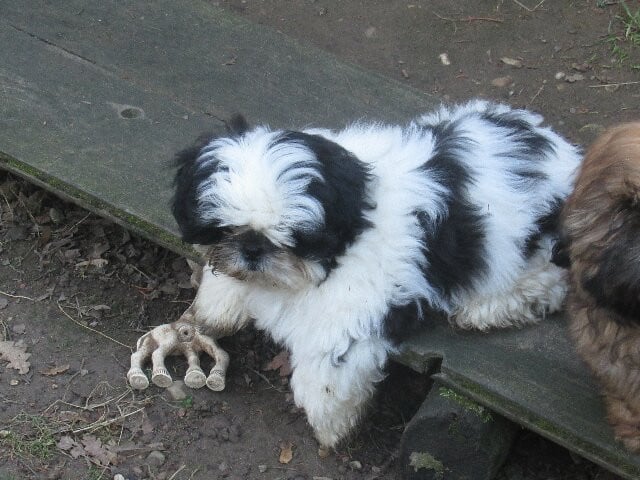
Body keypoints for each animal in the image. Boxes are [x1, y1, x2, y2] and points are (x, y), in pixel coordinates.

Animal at [169, 100, 581, 448]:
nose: (252, 249)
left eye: (296, 237)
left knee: (552, 282)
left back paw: (492, 307)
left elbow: (327, 365)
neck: (353, 215)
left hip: (536, 247)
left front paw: (329, 424)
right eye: (224, 229)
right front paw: (218, 304)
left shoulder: (351, 309)